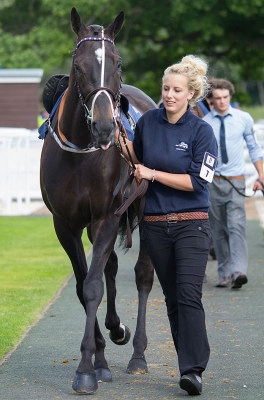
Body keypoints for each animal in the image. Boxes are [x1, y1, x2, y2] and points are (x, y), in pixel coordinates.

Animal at [39, 7, 157, 396]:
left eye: (118, 64)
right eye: (79, 66)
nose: (106, 127)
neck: (81, 153)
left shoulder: (106, 216)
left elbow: (91, 287)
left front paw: (86, 369)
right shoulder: (66, 224)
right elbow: (83, 285)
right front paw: (100, 360)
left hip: (144, 208)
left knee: (143, 275)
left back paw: (138, 355)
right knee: (111, 267)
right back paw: (116, 330)